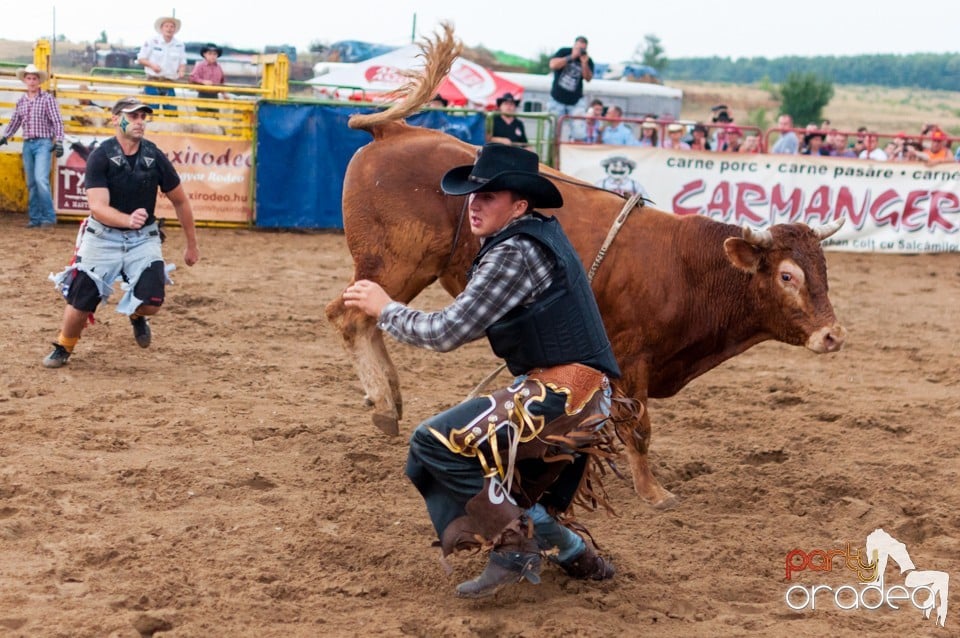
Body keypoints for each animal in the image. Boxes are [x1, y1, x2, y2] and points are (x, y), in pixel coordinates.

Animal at [324, 26, 848, 510]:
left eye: (823, 271)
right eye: (787, 275)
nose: (833, 336)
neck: (689, 266)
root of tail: (395, 131)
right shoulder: (632, 359)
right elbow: (638, 426)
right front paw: (653, 492)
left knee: (365, 319)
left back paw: (390, 397)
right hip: (397, 262)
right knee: (349, 317)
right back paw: (384, 402)